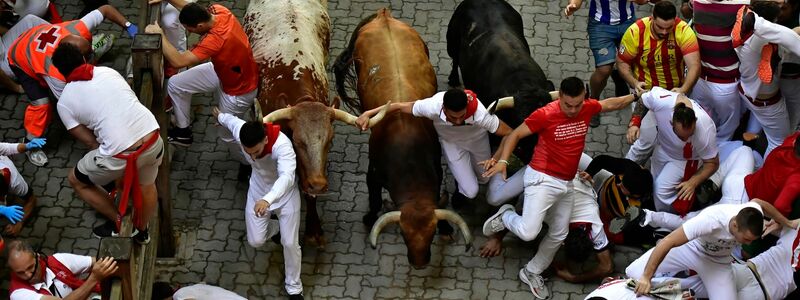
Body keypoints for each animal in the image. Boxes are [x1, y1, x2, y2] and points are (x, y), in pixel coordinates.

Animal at [334, 9, 472, 268]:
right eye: (404, 235)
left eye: (431, 234)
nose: (419, 263)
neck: (408, 157)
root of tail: (384, 16)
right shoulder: (373, 172)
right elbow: (374, 198)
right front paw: (370, 216)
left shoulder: (436, 169)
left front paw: (446, 228)